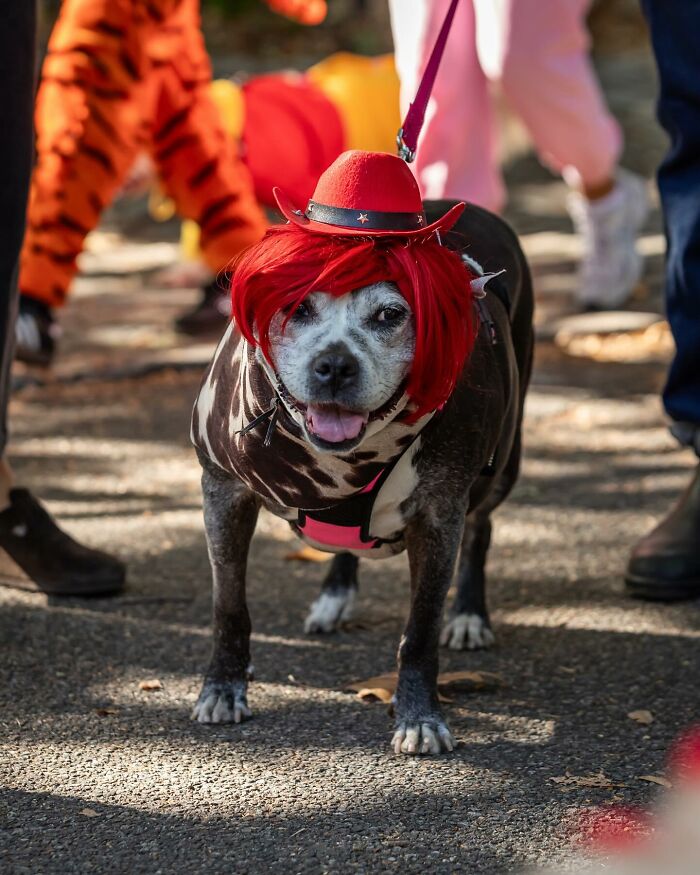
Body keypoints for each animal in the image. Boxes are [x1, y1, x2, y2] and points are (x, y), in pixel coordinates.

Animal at [189, 183, 532, 752]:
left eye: (390, 315)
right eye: (297, 306)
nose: (334, 365)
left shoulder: (439, 517)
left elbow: (420, 631)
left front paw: (420, 717)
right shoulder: (224, 492)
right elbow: (227, 606)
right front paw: (222, 688)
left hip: (502, 467)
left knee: (481, 527)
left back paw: (468, 615)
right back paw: (334, 596)